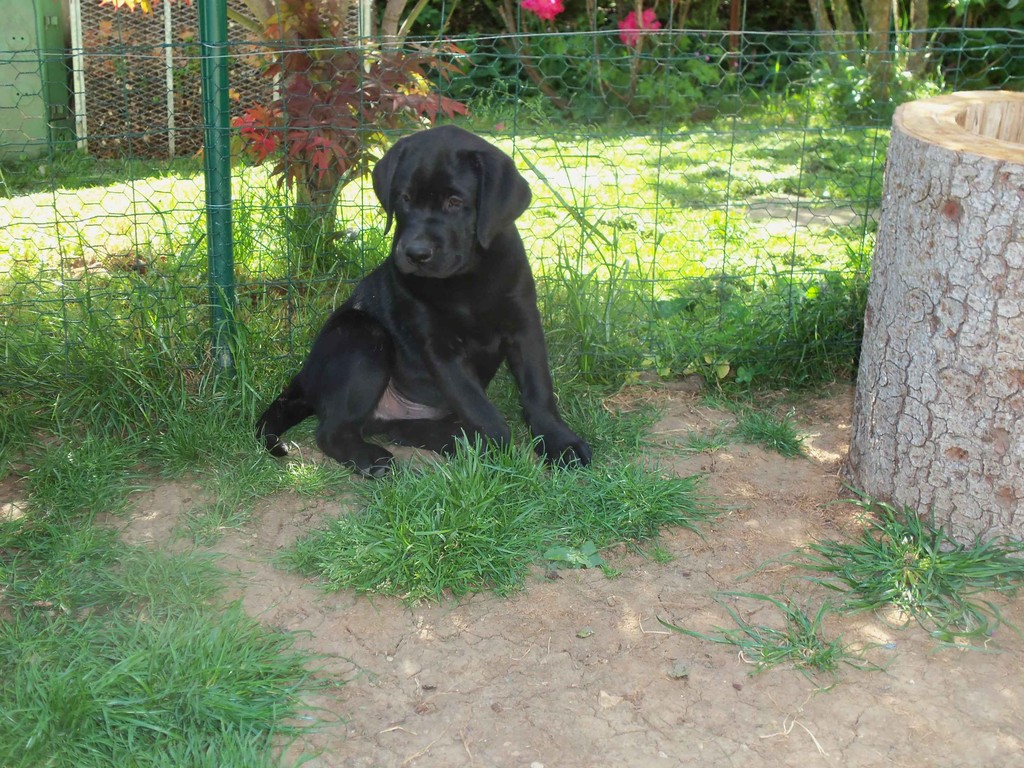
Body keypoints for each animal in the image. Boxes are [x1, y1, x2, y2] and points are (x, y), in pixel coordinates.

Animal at [256, 124, 593, 475]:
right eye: (404, 198)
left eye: (455, 201)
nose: (416, 253)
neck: (466, 278)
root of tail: (305, 377)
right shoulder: (440, 347)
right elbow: (482, 410)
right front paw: (502, 454)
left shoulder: (524, 325)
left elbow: (538, 390)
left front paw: (560, 443)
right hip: (362, 334)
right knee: (332, 430)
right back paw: (374, 458)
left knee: (398, 428)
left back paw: (455, 441)